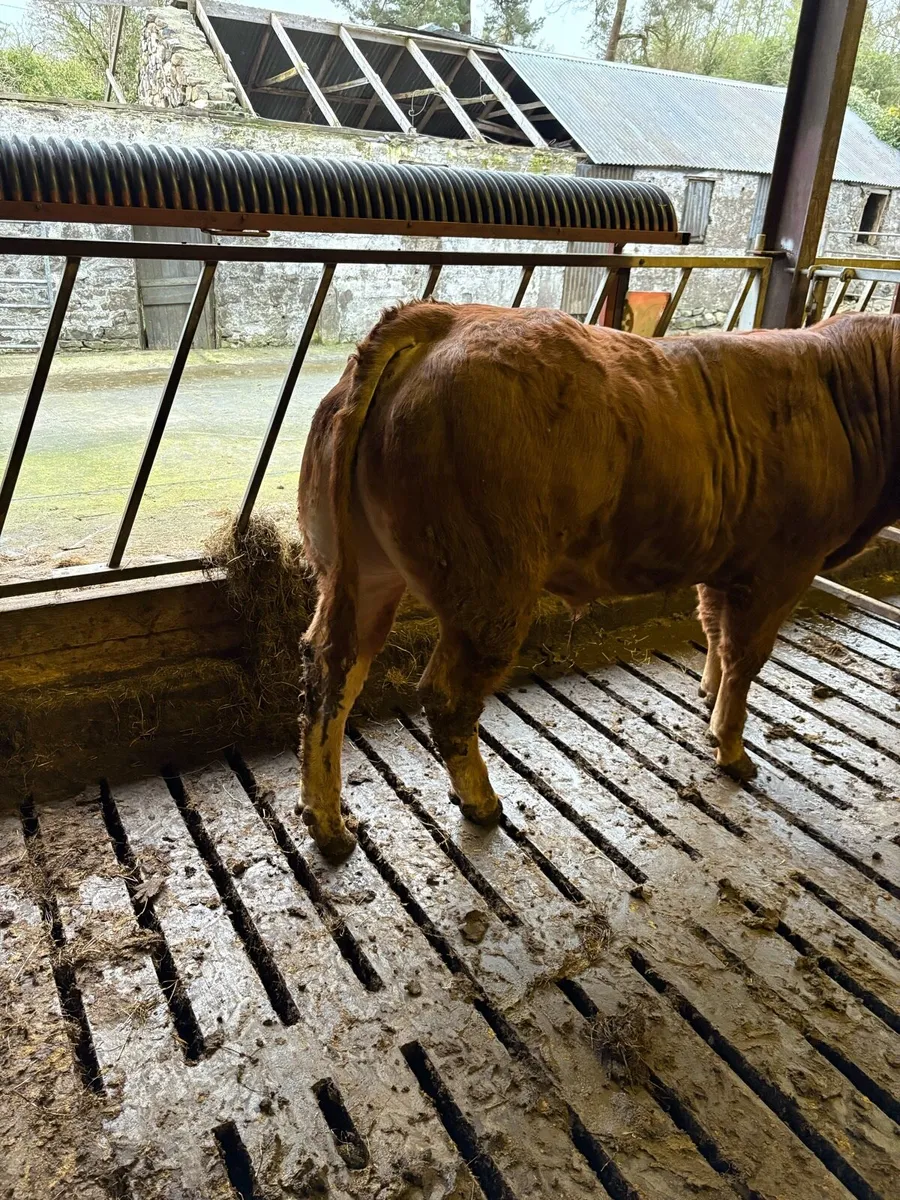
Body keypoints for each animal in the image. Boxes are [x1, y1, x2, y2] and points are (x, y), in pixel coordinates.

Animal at [297, 302, 899, 861]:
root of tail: (441, 317)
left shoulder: (727, 562)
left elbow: (713, 629)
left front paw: (707, 696)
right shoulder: (782, 567)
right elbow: (744, 656)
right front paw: (731, 749)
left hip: (359, 570)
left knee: (331, 669)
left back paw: (328, 825)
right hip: (489, 592)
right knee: (446, 696)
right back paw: (482, 805)